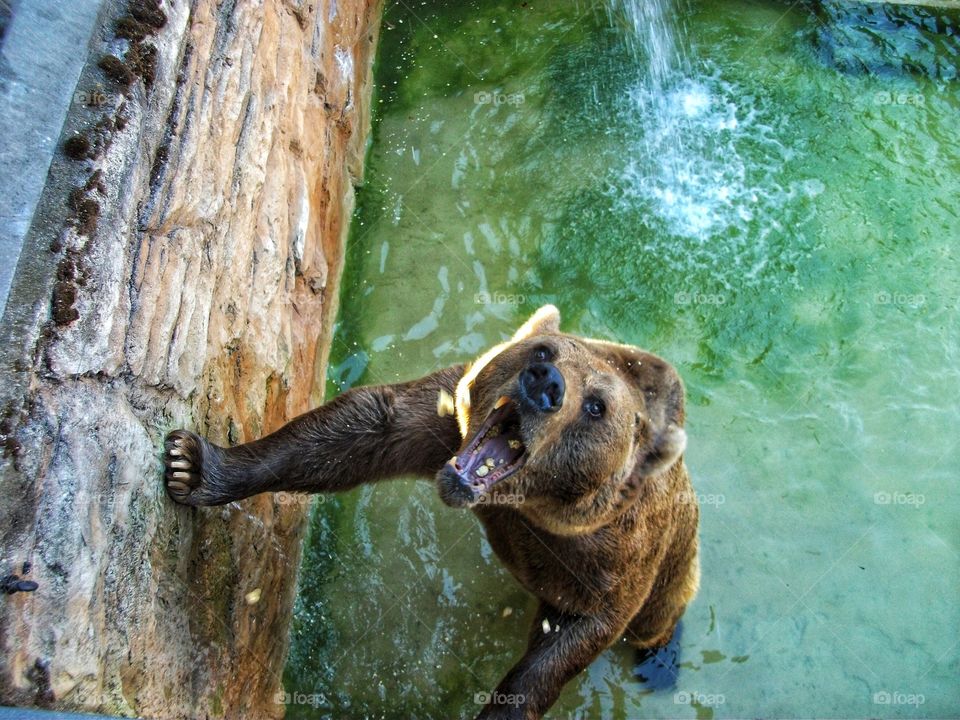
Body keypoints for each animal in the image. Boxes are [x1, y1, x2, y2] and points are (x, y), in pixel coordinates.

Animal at [164, 305, 699, 720]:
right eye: (544, 351)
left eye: (596, 407)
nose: (546, 383)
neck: (521, 505)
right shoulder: (449, 421)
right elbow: (364, 427)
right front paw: (195, 465)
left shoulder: (609, 556)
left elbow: (572, 637)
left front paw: (505, 707)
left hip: (675, 563)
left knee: (659, 614)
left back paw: (660, 660)